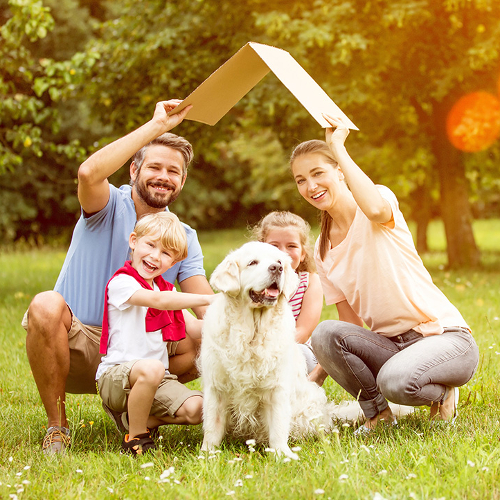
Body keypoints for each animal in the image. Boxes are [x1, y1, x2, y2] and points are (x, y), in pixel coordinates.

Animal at [199, 240, 336, 458]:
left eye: (279, 261)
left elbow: (279, 426)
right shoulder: (216, 387)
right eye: (252, 262)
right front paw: (207, 454)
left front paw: (283, 455)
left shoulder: (277, 388)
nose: (277, 268)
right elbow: (212, 425)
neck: (252, 333)